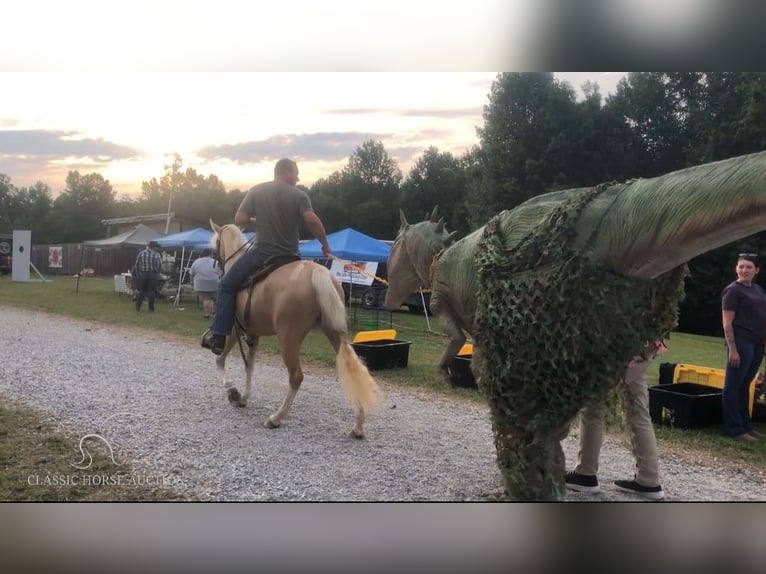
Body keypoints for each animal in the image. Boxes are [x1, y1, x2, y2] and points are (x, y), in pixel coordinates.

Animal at [212, 223, 382, 438]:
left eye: (216, 244)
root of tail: (319, 272)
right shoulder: (253, 334)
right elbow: (249, 367)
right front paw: (243, 397)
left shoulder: (233, 331)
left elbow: (220, 360)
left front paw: (232, 390)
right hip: (334, 334)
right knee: (352, 367)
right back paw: (358, 426)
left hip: (289, 339)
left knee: (296, 377)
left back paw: (276, 418)